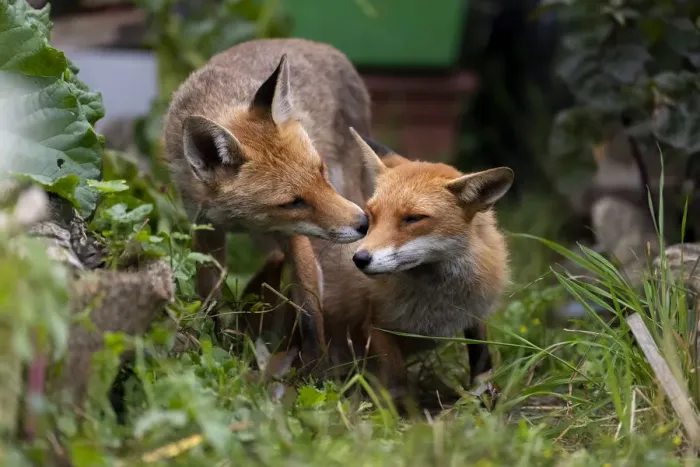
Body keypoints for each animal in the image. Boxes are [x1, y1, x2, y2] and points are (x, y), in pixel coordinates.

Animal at [161, 39, 373, 354]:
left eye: (320, 171)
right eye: (293, 202)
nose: (363, 223)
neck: (241, 220)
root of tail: (325, 47)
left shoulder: (295, 236)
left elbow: (310, 312)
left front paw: (316, 364)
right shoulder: (207, 227)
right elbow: (211, 297)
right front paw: (217, 342)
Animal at [256, 129, 514, 395]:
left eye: (413, 218)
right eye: (371, 216)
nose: (359, 259)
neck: (437, 301)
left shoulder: (476, 314)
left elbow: (482, 363)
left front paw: (484, 397)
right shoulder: (377, 326)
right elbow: (397, 381)